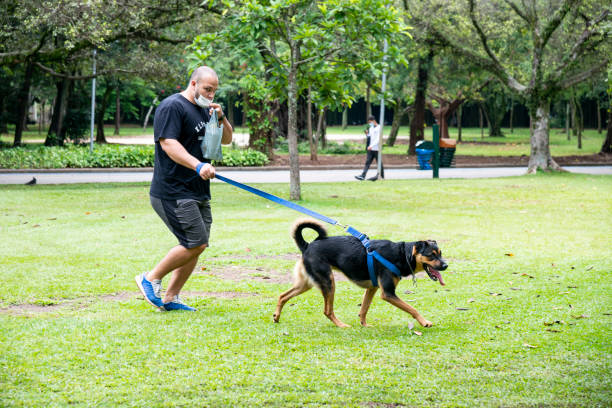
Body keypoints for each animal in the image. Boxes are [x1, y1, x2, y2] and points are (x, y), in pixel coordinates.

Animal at [274, 220, 448, 328]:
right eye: (431, 255)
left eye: (440, 253)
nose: (446, 265)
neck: (402, 254)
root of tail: (307, 245)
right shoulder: (388, 293)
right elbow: (412, 309)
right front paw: (424, 322)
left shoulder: (372, 288)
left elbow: (364, 309)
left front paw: (364, 325)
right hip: (328, 282)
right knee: (327, 311)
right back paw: (341, 325)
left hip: (307, 283)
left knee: (282, 295)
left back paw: (276, 316)